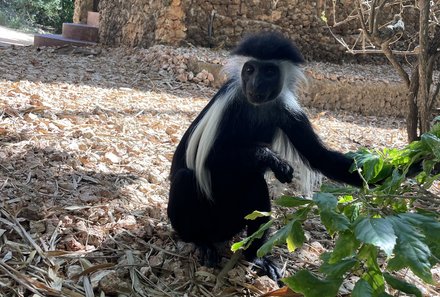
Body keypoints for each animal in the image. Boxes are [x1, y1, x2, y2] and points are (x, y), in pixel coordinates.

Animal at [167, 31, 362, 278]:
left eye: (269, 71)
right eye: (250, 69)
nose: (256, 83)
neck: (257, 108)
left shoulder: (290, 113)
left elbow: (320, 157)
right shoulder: (228, 105)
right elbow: (212, 158)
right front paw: (274, 160)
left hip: (233, 220)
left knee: (255, 186)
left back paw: (255, 256)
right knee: (186, 179)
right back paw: (202, 243)